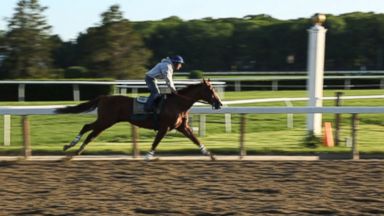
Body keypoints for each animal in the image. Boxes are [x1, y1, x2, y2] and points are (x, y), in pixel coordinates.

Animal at [54, 78, 222, 159]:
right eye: (211, 90)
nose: (219, 103)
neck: (178, 103)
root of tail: (104, 97)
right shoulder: (164, 127)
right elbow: (156, 142)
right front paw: (148, 156)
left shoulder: (182, 127)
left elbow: (195, 139)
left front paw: (209, 154)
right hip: (106, 121)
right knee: (88, 129)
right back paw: (73, 147)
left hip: (106, 121)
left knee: (89, 131)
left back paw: (75, 149)